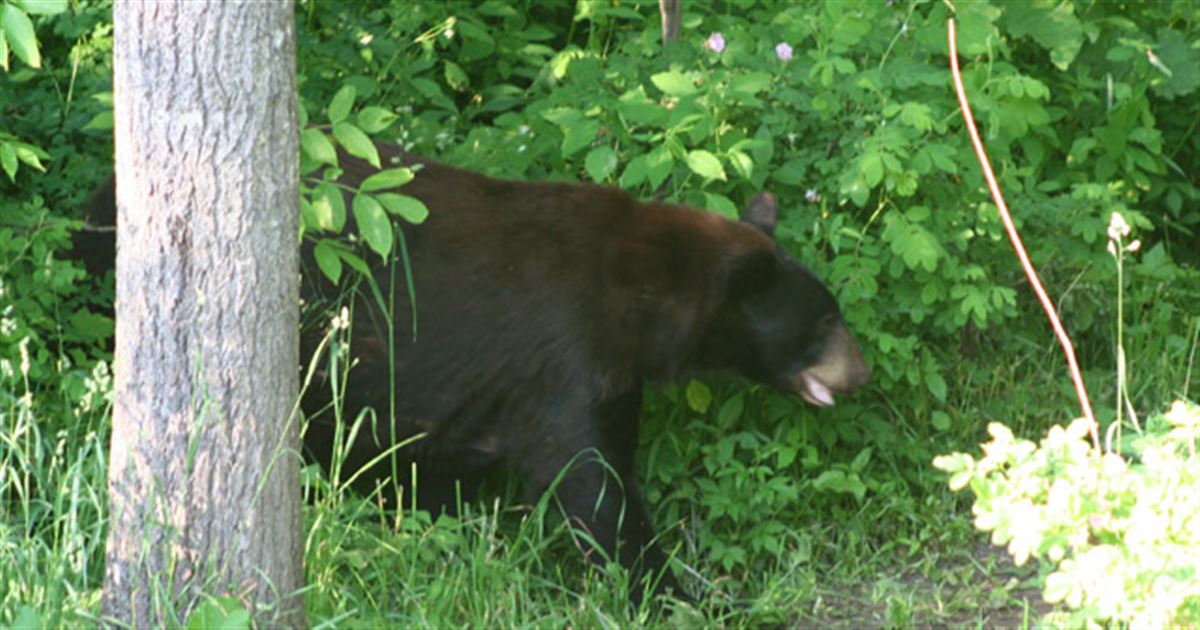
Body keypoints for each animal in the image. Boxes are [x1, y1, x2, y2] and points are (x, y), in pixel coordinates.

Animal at [76, 141, 870, 603]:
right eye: (822, 322)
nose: (862, 373)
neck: (637, 299)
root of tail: (103, 190)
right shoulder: (560, 357)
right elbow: (589, 483)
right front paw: (672, 589)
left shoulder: (605, 377)